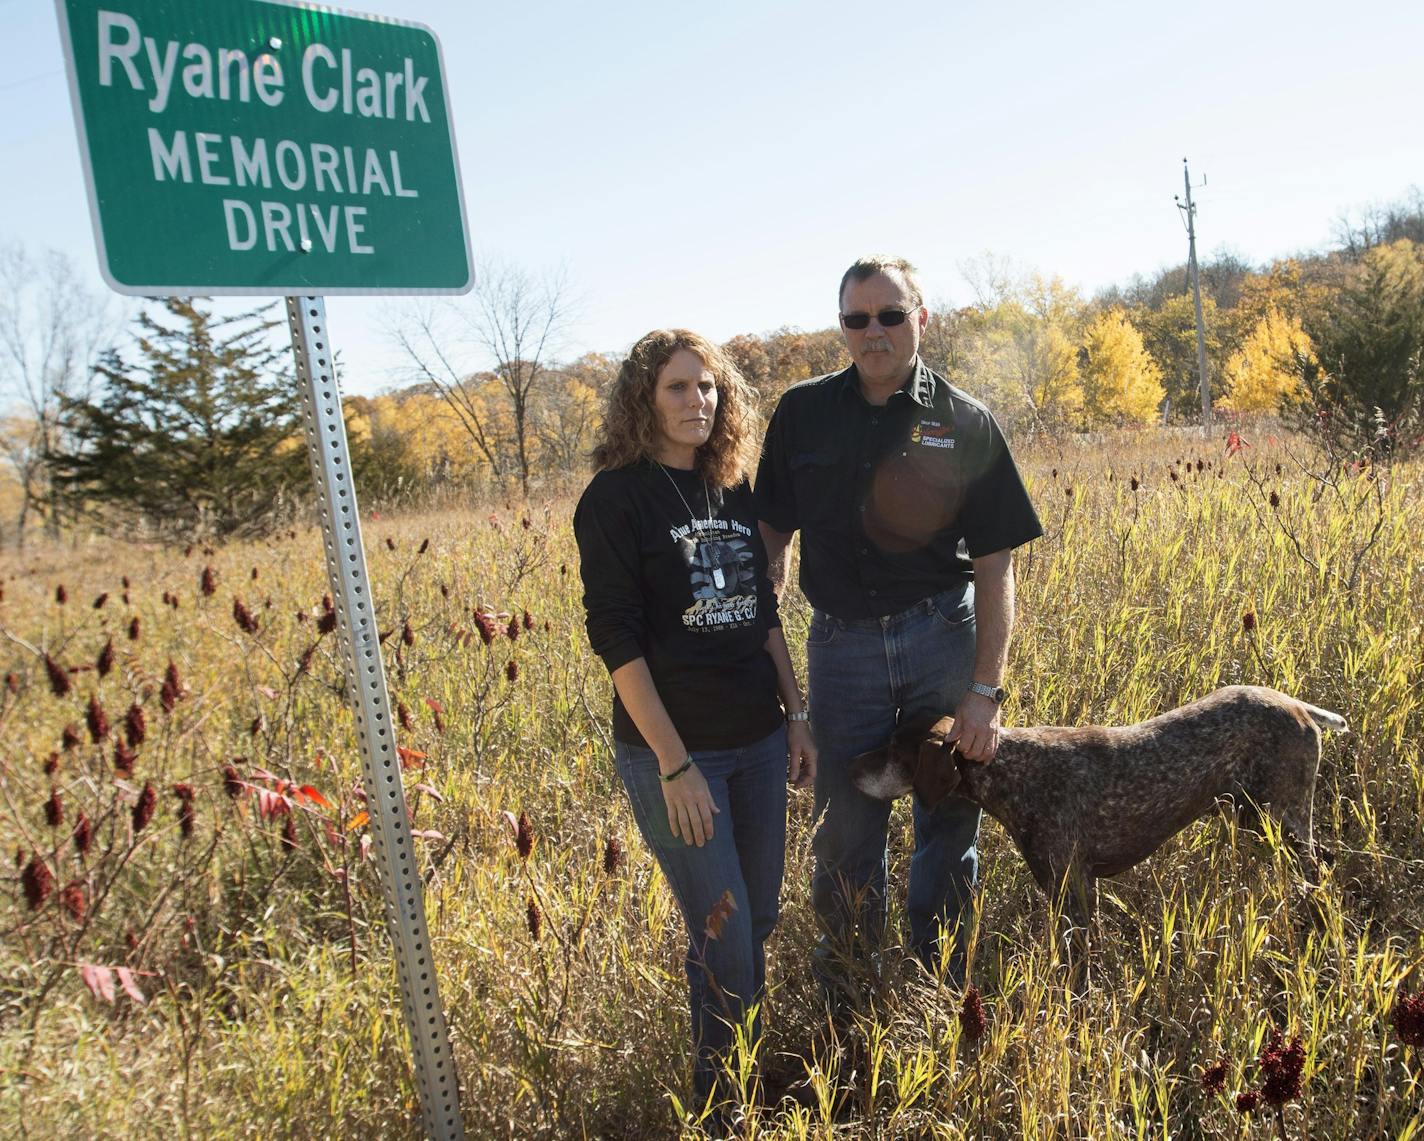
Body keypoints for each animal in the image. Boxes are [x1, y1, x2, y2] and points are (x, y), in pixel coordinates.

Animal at [848, 686, 1349, 934]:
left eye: (896, 750)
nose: (849, 768)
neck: (1017, 772)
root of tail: (1299, 707)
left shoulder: (1076, 893)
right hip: (1257, 818)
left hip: (1285, 819)